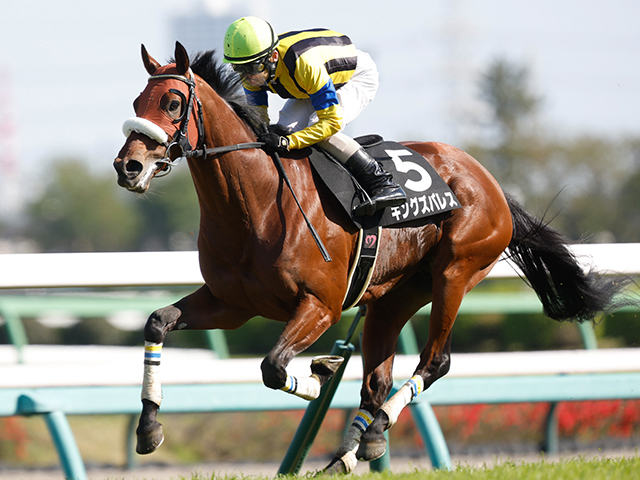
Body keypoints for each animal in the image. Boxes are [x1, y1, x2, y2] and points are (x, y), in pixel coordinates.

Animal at [114, 42, 624, 476]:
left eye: (173, 102)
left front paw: (320, 374)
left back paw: (373, 430)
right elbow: (158, 323)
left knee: (435, 361)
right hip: (393, 297)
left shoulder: (320, 305)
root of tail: (489, 180)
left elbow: (273, 366)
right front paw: (149, 427)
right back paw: (350, 451)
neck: (254, 202)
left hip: (455, 273)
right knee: (377, 380)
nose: (128, 167)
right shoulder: (233, 304)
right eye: (137, 101)